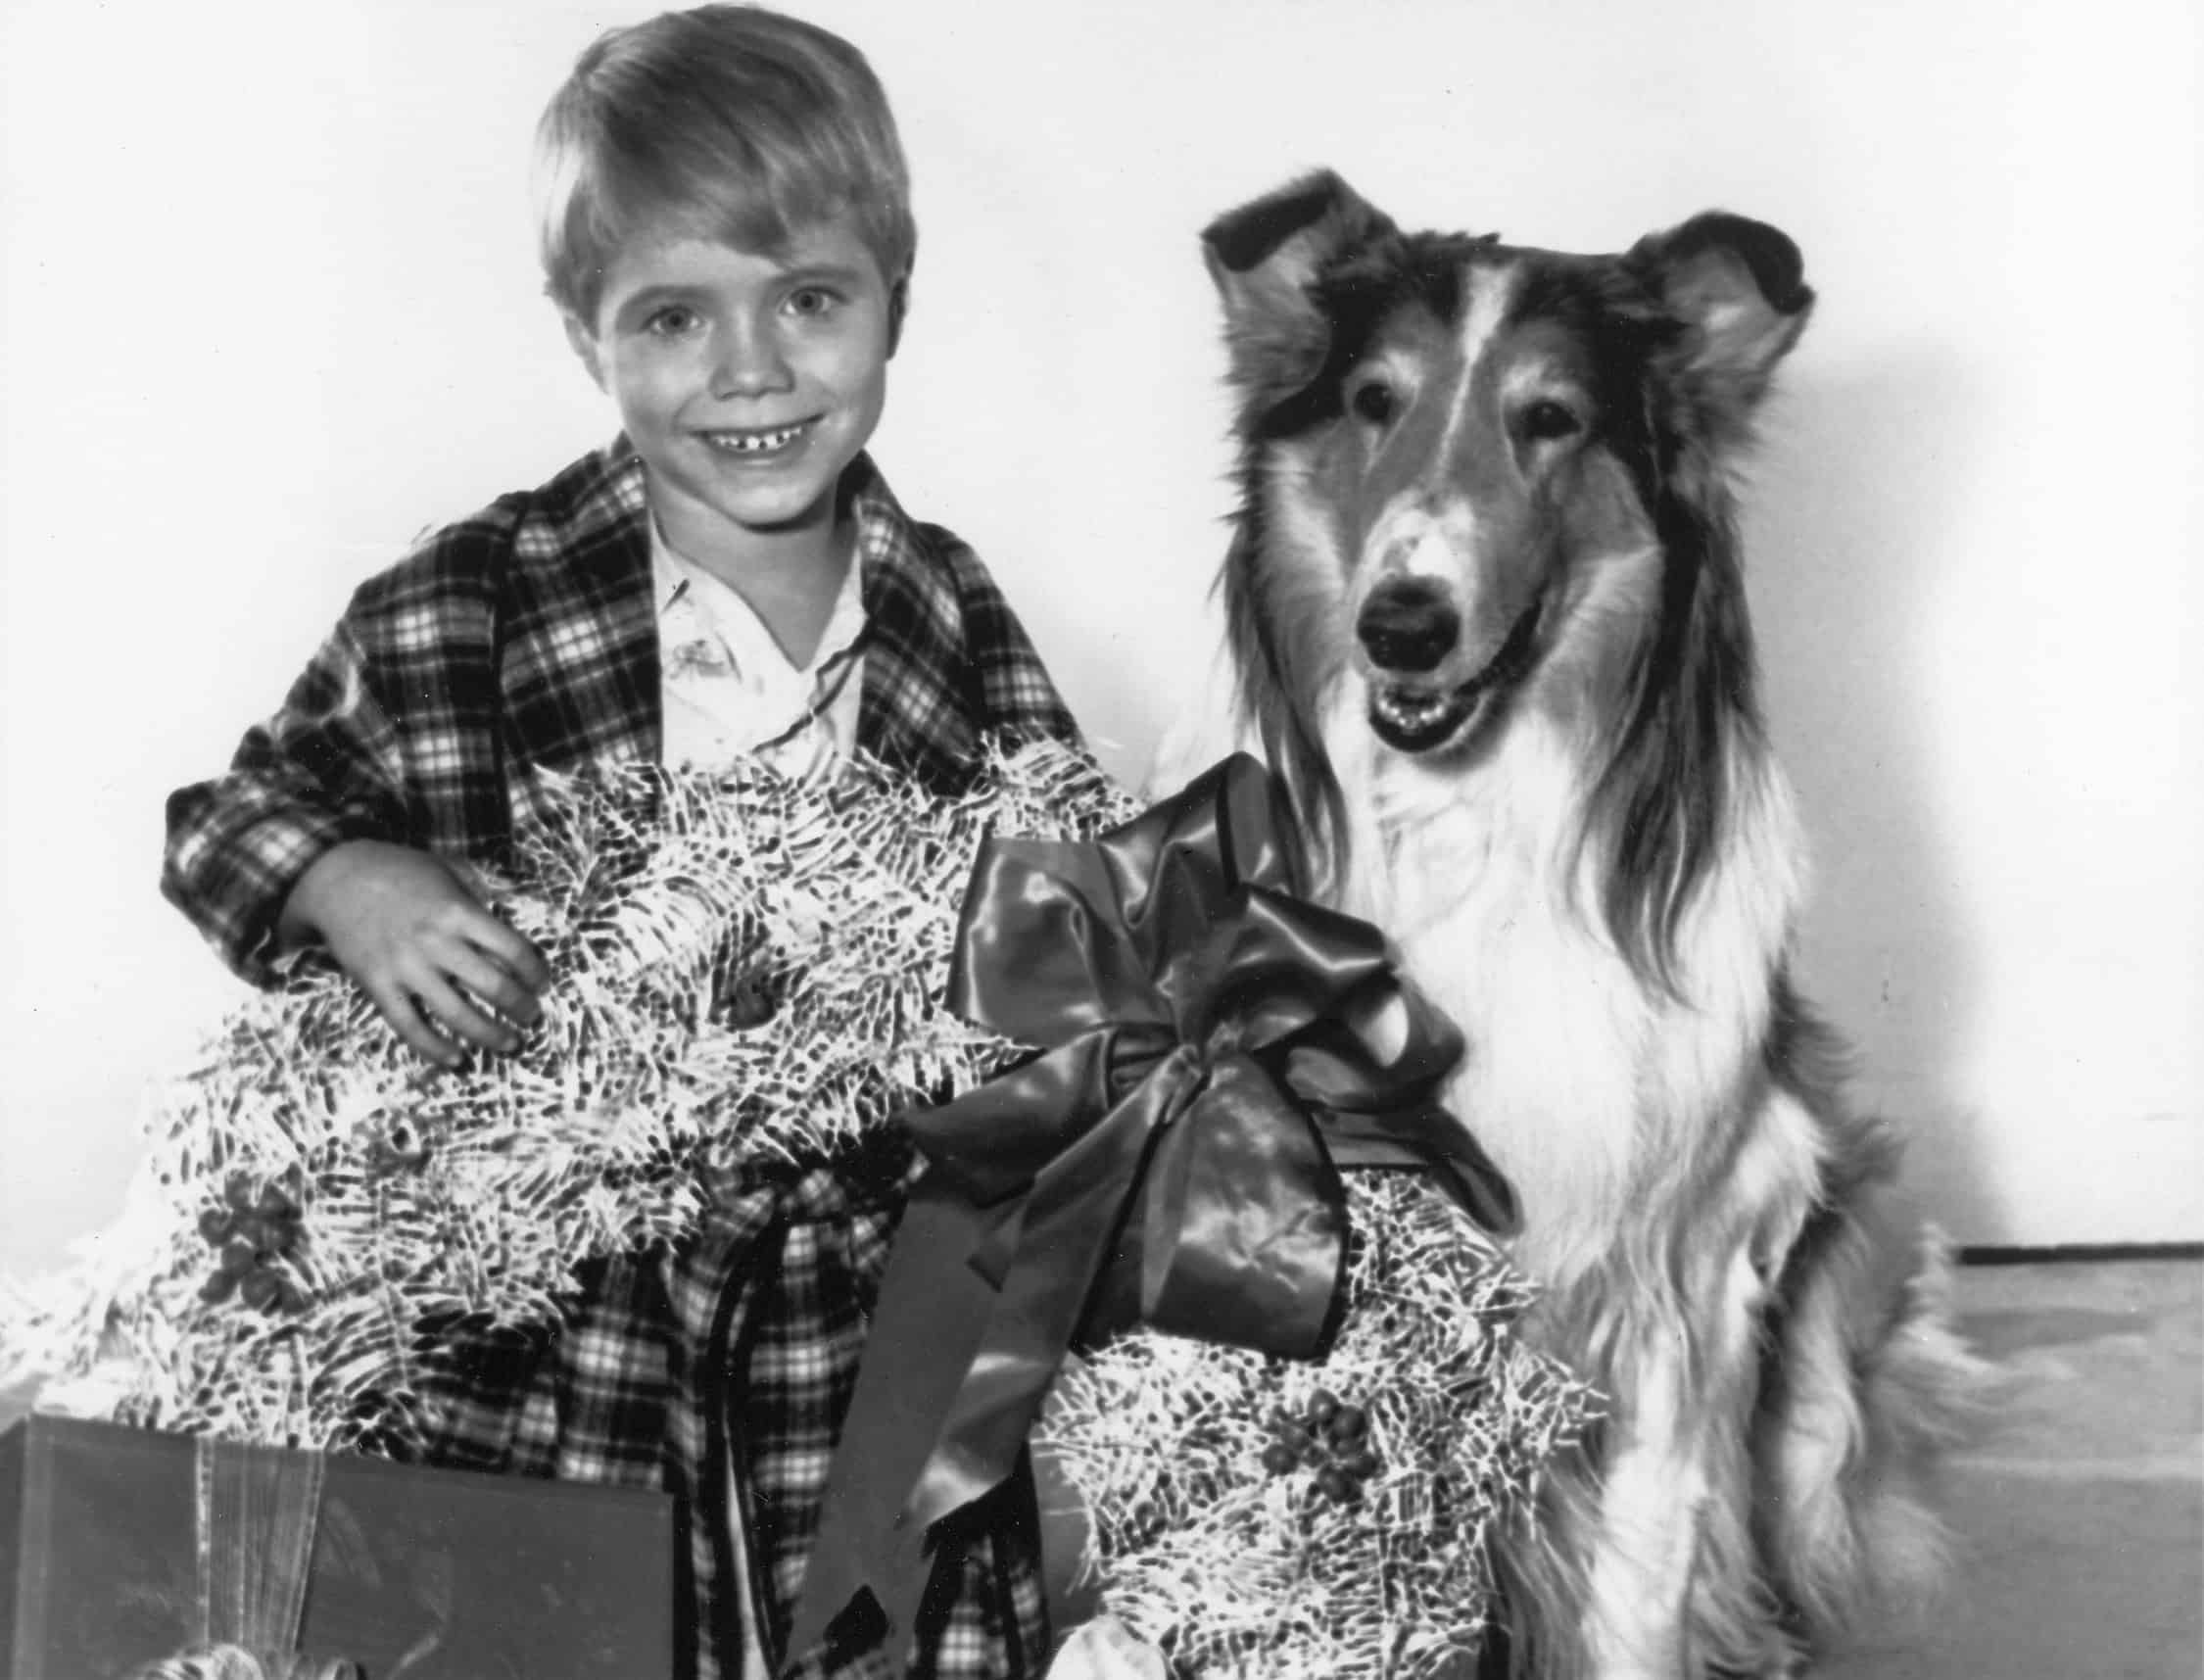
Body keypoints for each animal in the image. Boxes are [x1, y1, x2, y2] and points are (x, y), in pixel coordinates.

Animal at [1164, 172, 1992, 1675]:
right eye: (1374, 399)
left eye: (1549, 418)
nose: (1403, 625)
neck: (1473, 820)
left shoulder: (1679, 1278)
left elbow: (1642, 1585)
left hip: (1839, 1274)